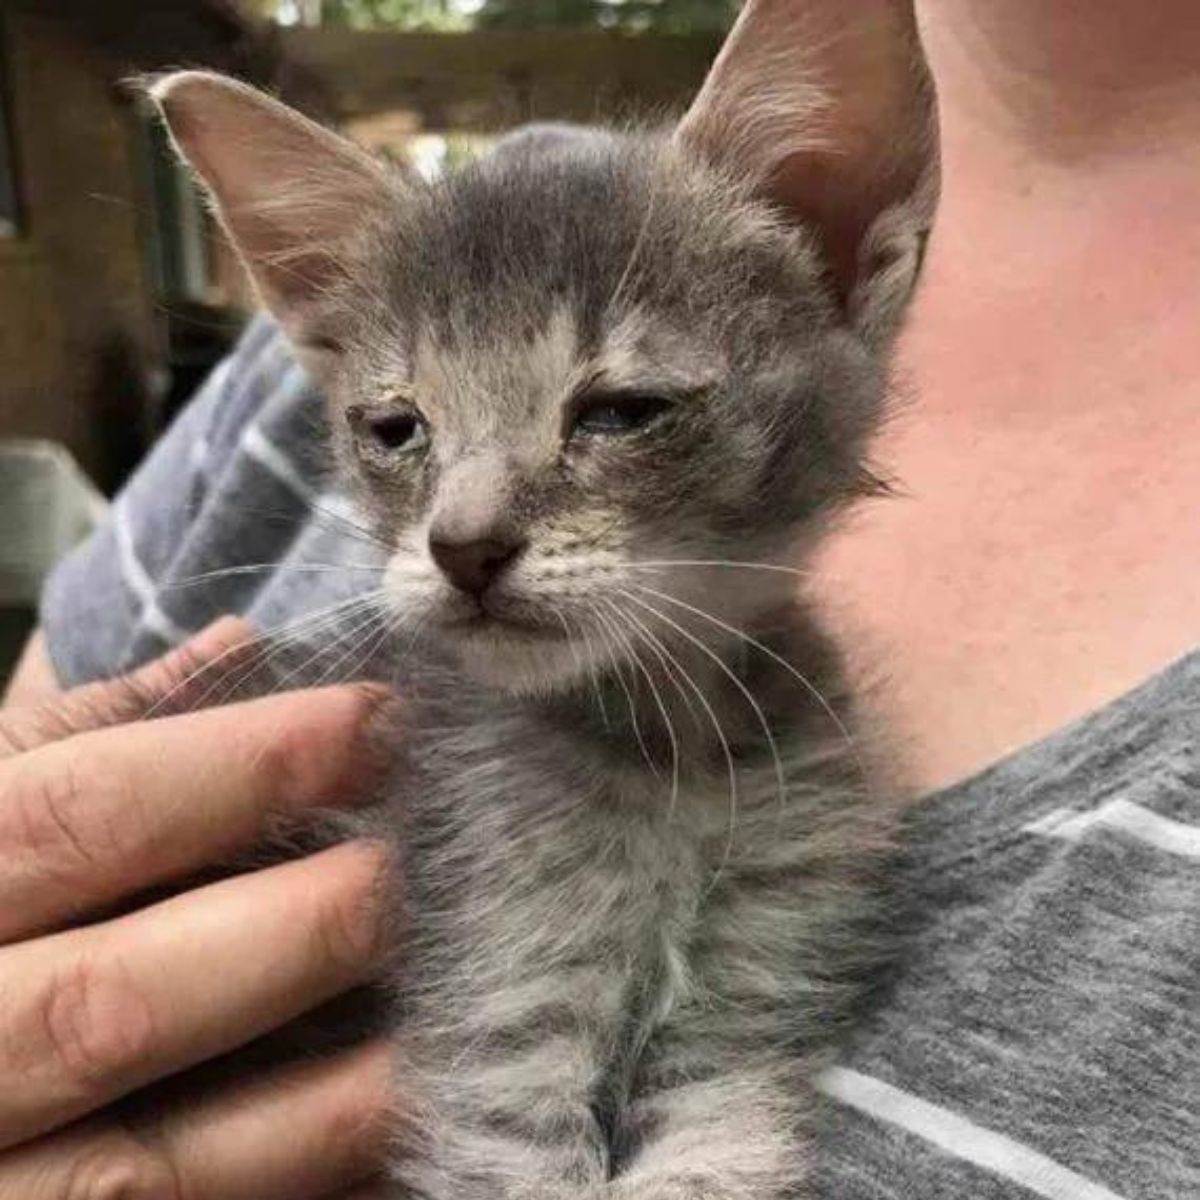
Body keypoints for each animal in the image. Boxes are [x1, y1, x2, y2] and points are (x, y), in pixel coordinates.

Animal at [150, 2, 936, 1190]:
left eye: (621, 410)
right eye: (395, 427)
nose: (463, 546)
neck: (670, 760)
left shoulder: (748, 1003)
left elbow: (710, 1150)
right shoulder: (498, 1000)